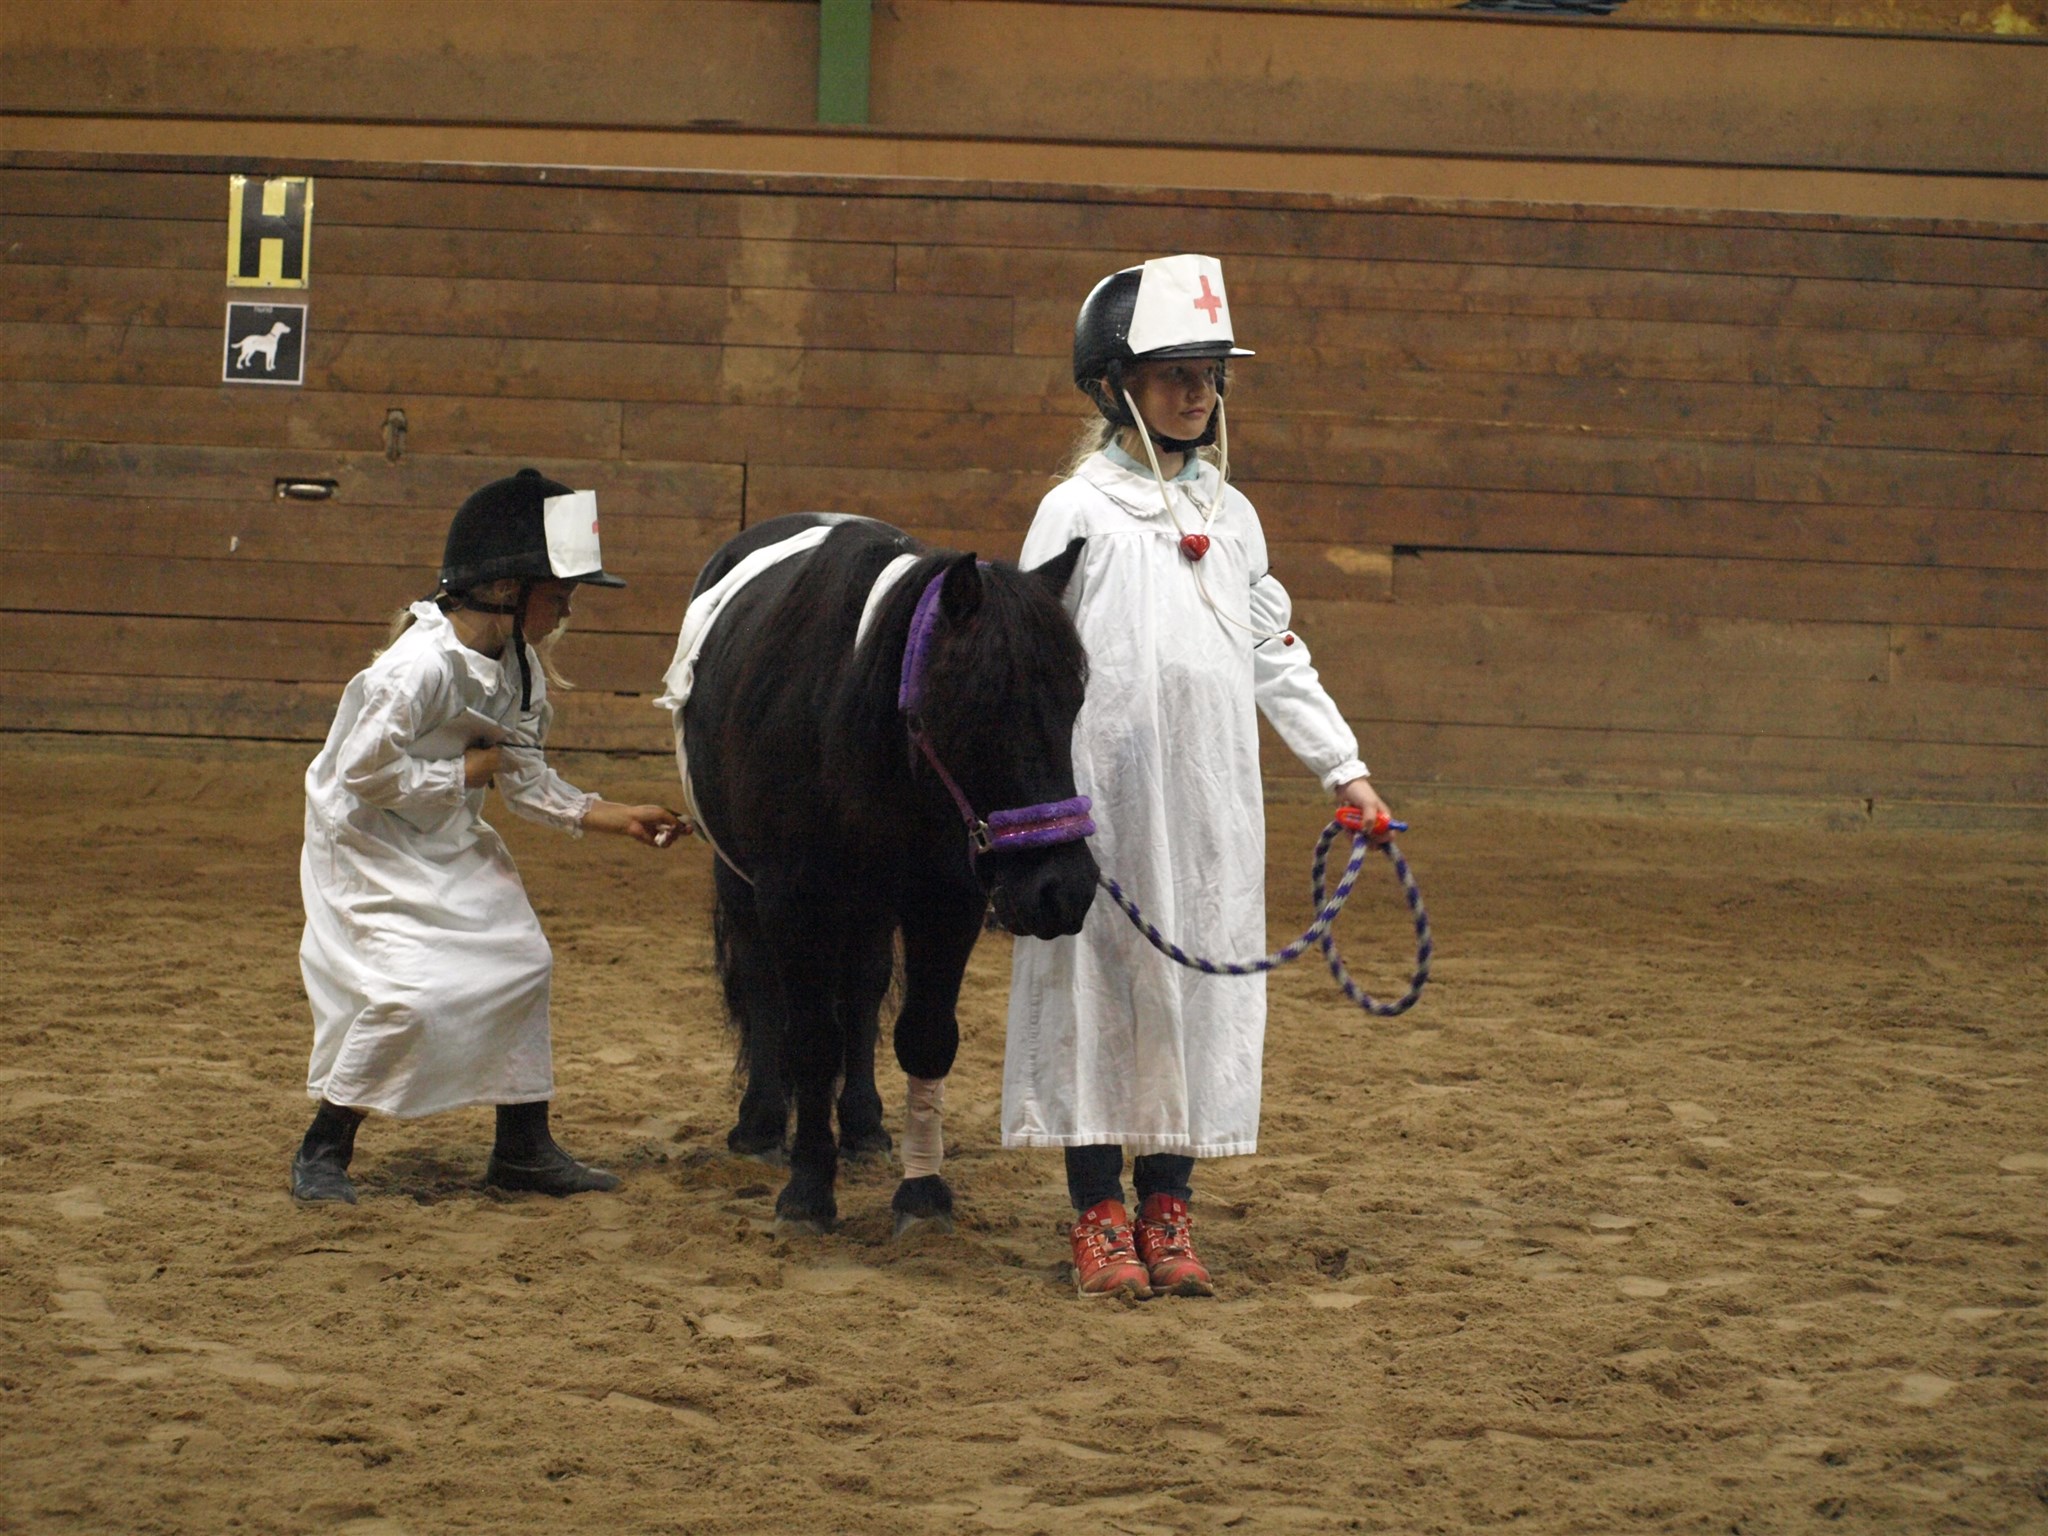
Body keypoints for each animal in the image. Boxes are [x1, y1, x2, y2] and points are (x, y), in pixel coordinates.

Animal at [675, 518, 1097, 1236]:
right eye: (980, 705)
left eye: (1075, 702)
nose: (1061, 889)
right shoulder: (793, 900)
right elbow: (810, 1039)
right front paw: (808, 1189)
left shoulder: (945, 901)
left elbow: (923, 1036)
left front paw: (921, 1191)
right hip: (744, 882)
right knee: (763, 985)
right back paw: (762, 1124)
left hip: (869, 905)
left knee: (864, 991)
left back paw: (864, 1124)